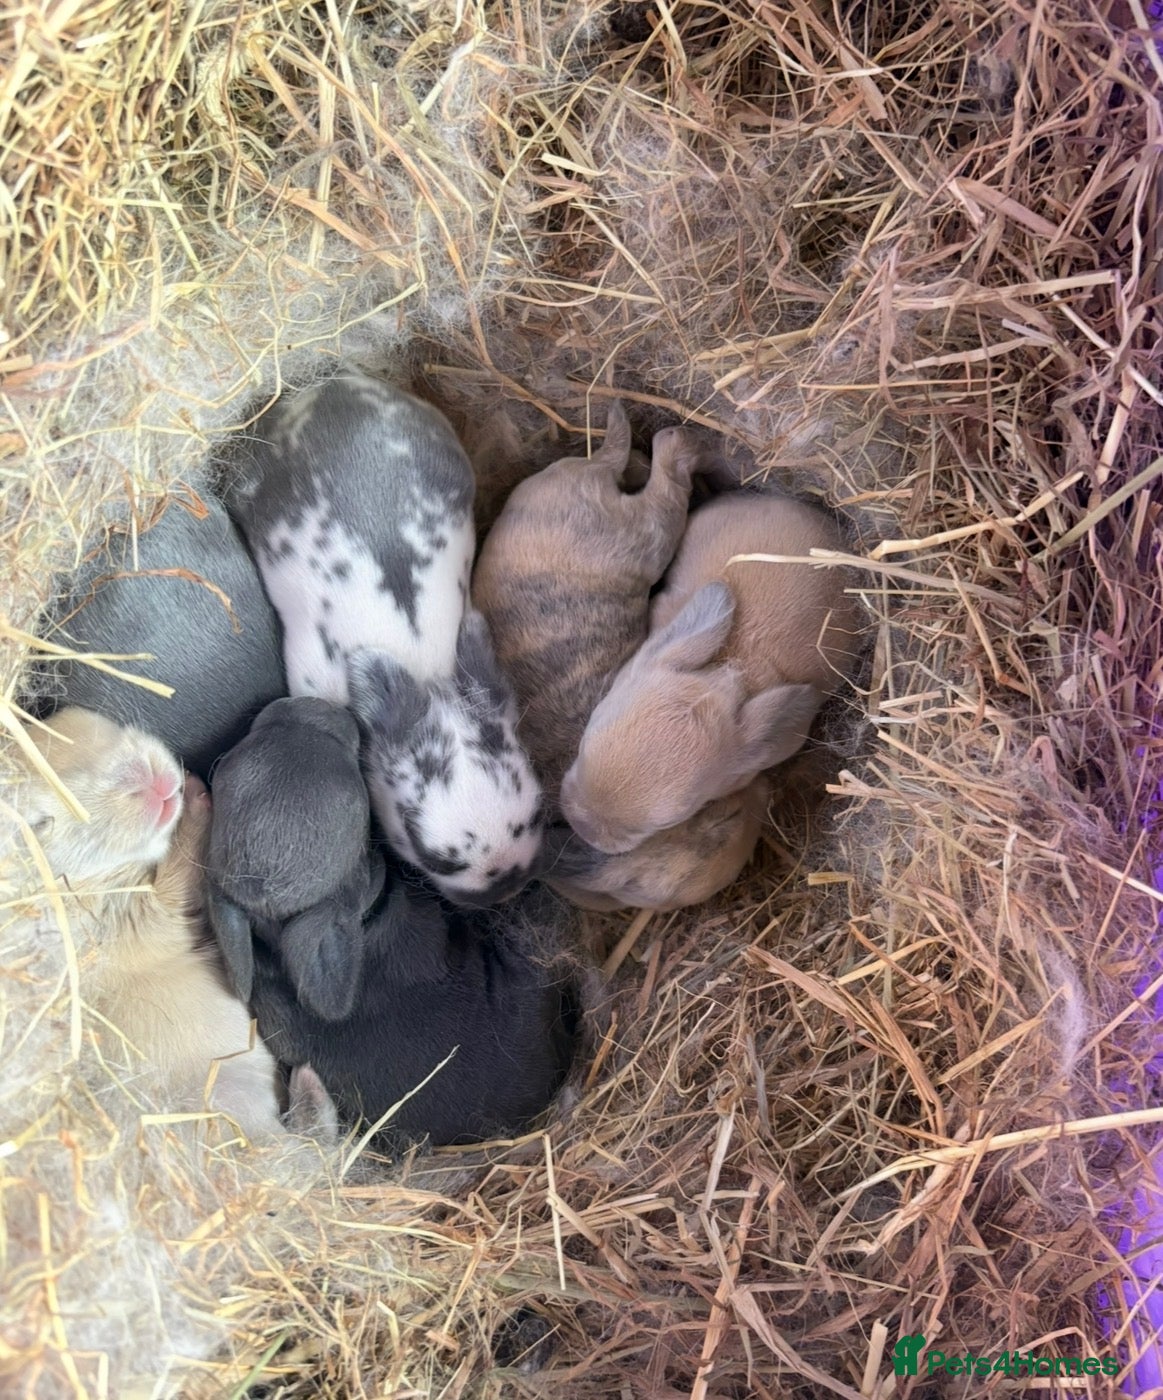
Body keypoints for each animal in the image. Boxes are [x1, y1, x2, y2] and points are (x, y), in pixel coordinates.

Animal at [9, 707, 283, 1137]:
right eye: (39, 822)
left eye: (73, 715)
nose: (149, 778)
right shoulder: (131, 923)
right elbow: (172, 888)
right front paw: (196, 799)